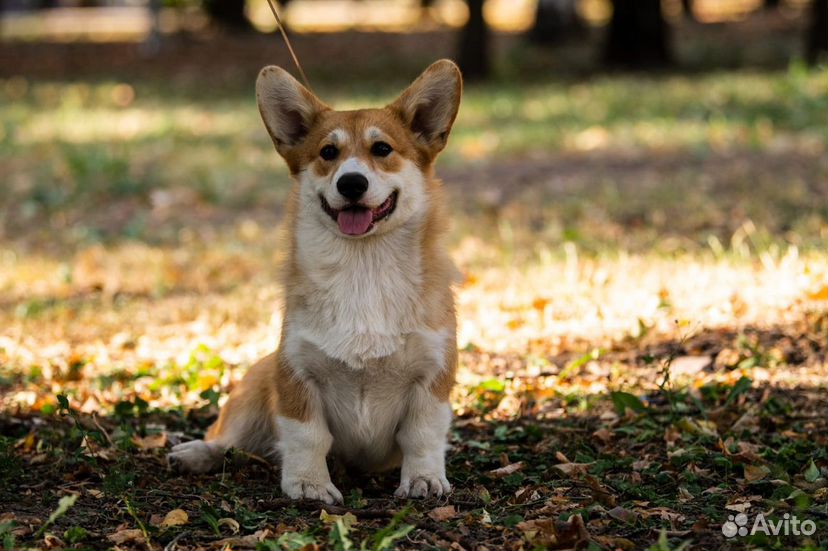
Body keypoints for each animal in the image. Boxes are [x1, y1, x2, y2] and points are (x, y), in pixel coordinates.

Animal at [167, 59, 466, 504]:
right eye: (328, 152)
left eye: (382, 149)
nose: (351, 183)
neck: (363, 268)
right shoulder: (297, 372)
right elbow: (307, 436)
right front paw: (309, 484)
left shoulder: (431, 377)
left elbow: (423, 435)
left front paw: (424, 479)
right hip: (257, 384)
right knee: (228, 439)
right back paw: (196, 454)